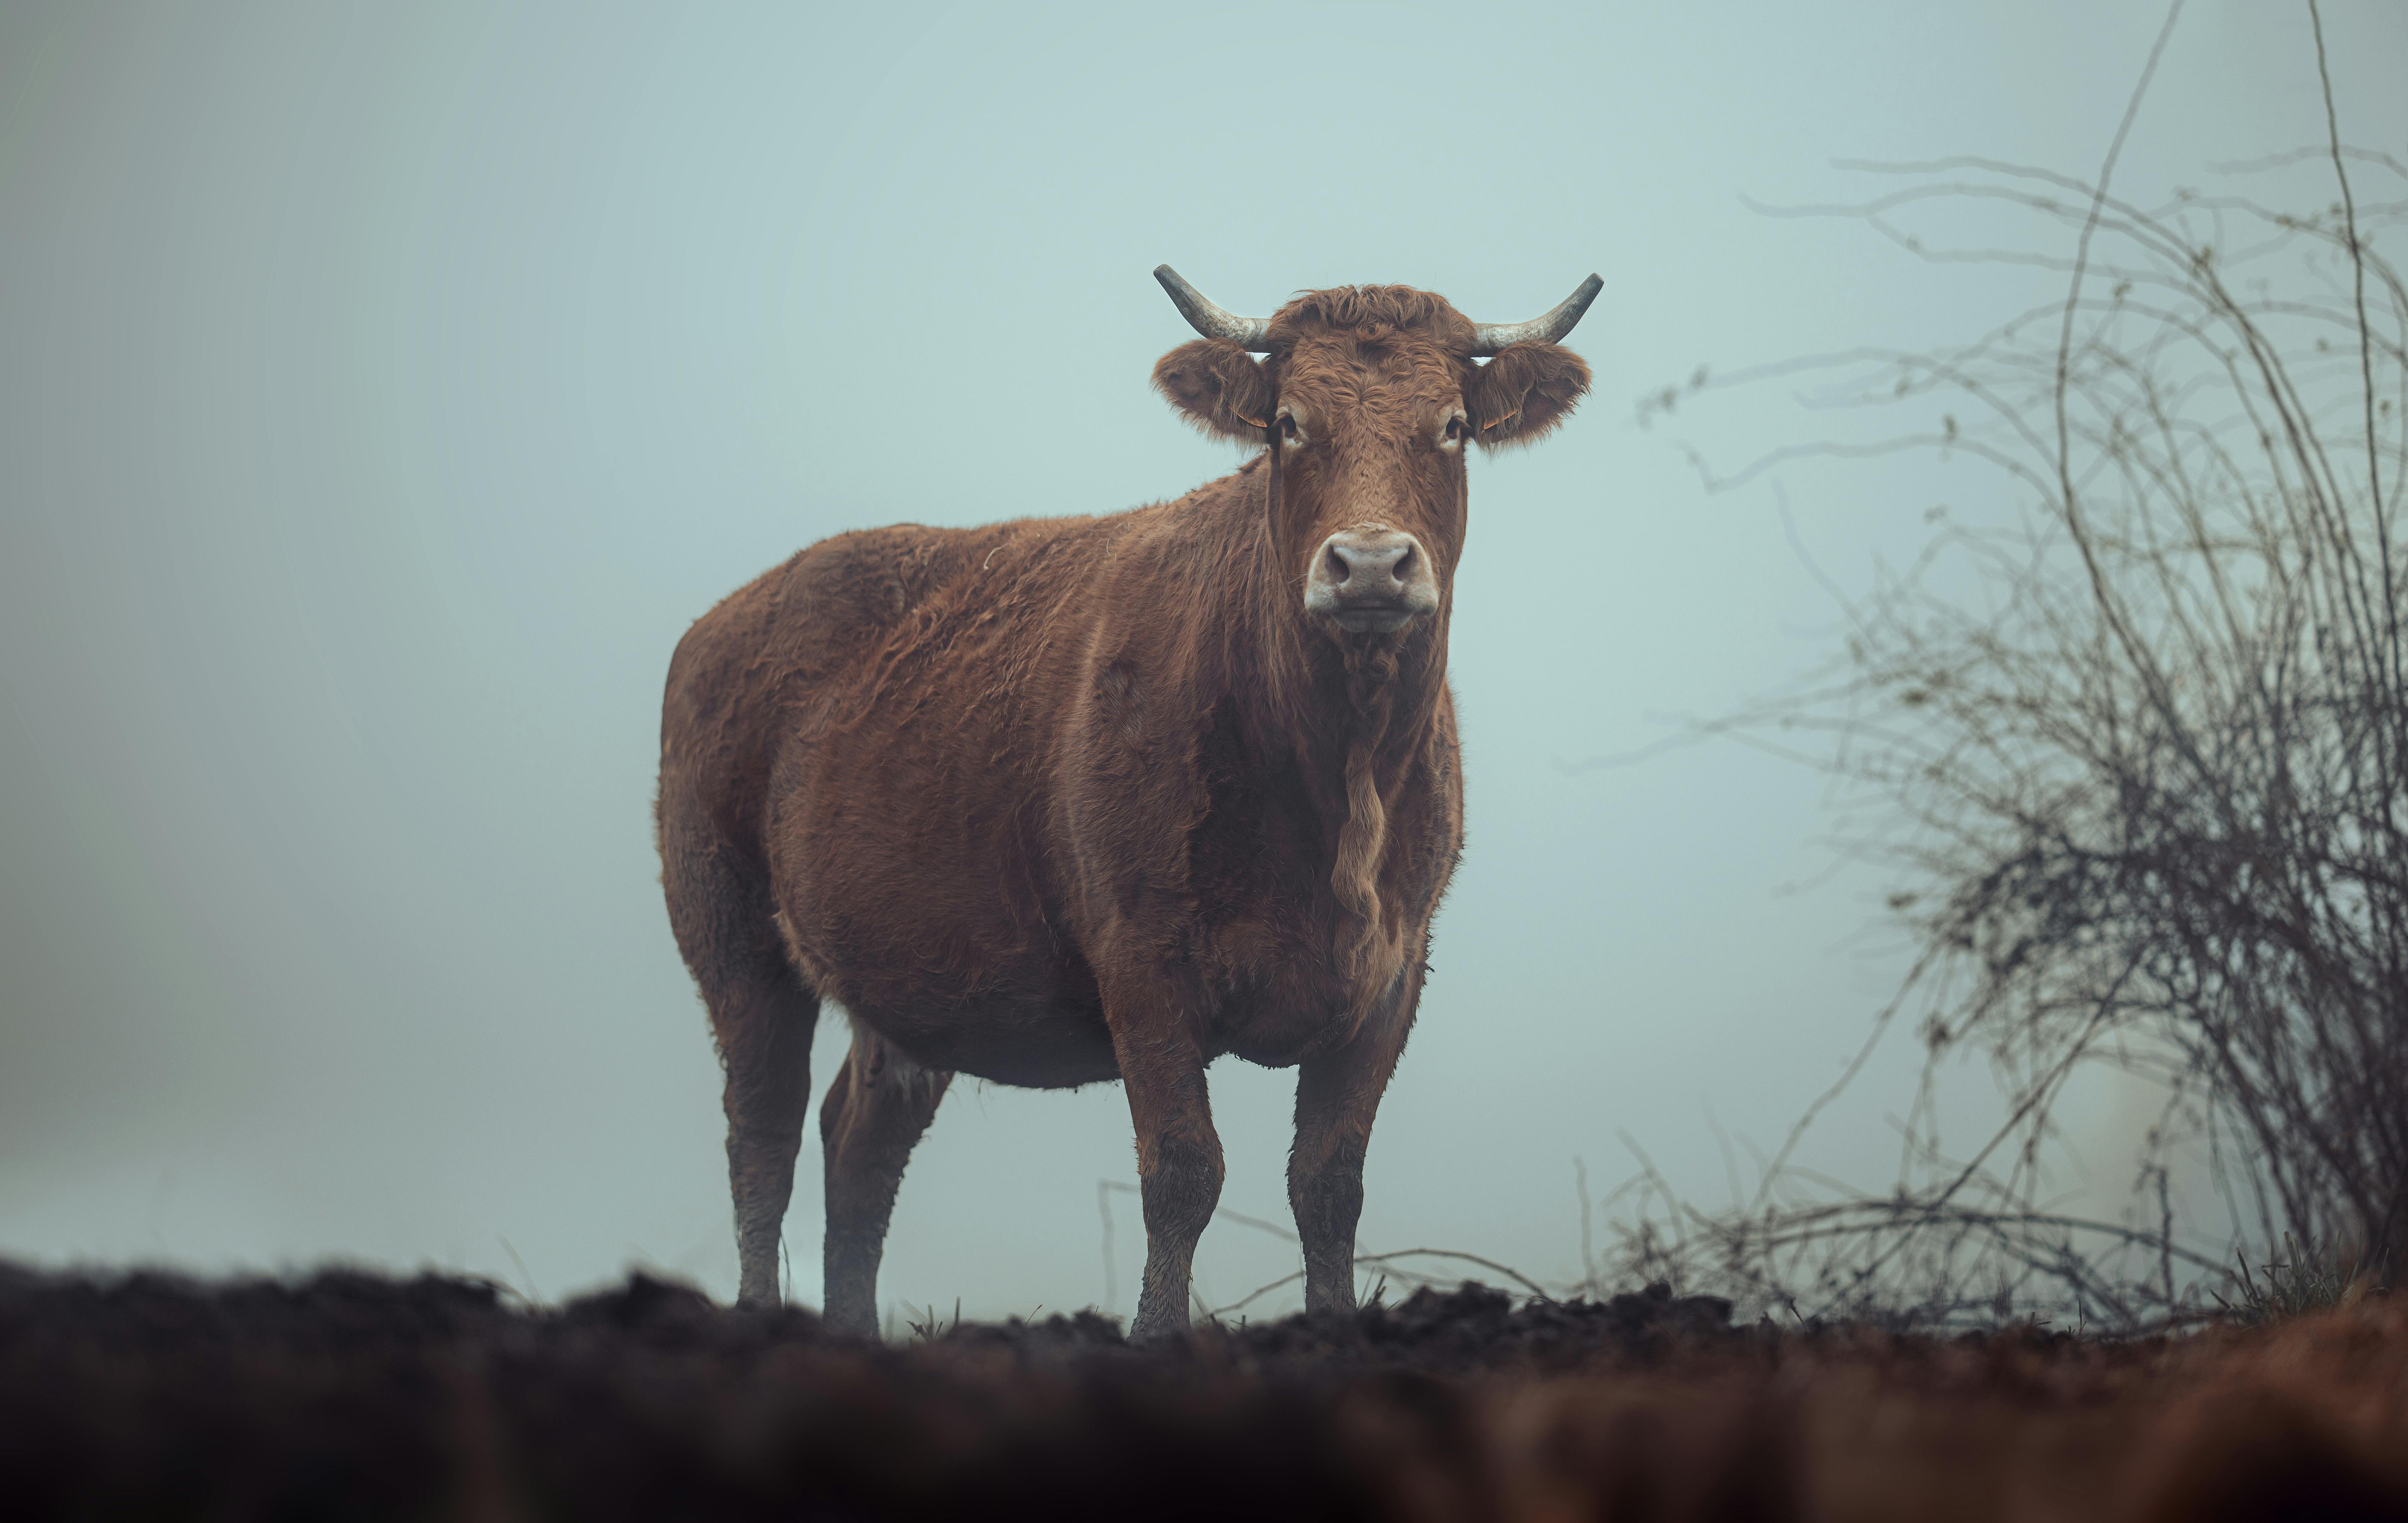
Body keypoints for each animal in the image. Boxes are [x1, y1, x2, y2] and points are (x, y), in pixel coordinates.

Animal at [656, 268, 1597, 1338]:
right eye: (1288, 424)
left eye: (1451, 426)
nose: (1367, 565)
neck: (1338, 785)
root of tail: (728, 616)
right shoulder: (1141, 958)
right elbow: (1183, 1173)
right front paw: (1156, 1338)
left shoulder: (1393, 973)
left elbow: (1328, 1182)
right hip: (732, 936)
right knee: (762, 1136)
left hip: (906, 978)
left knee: (859, 1146)